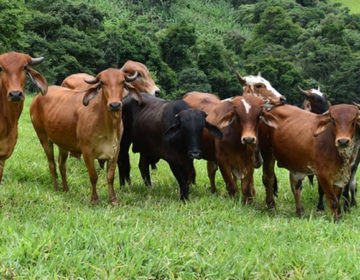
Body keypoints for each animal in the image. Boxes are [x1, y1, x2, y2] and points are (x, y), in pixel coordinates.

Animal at [29, 68, 141, 203]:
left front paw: (113, 199)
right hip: (44, 138)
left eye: (123, 82)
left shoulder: (115, 151)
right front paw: (94, 199)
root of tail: (38, 97)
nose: (115, 105)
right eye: (102, 83)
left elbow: (110, 176)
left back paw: (66, 189)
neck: (108, 125)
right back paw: (56, 188)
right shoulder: (87, 151)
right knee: (52, 164)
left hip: (63, 144)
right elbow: (93, 176)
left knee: (62, 165)